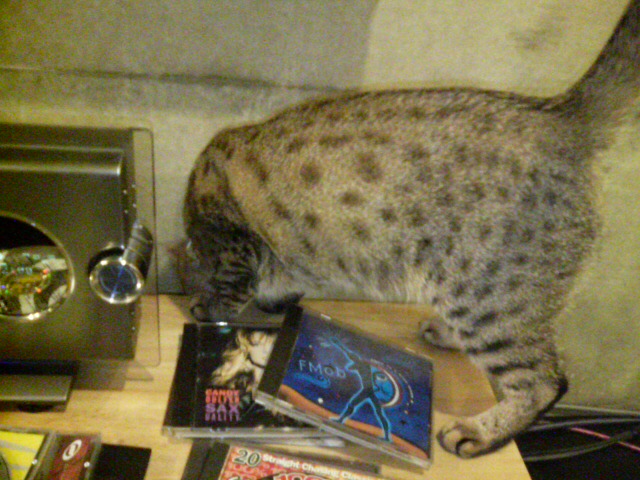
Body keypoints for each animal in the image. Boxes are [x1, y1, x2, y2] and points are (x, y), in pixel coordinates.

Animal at [181, 1, 640, 458]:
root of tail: (558, 114)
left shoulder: (235, 246)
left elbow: (228, 293)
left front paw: (208, 308)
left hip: (485, 297)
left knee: (545, 380)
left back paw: (479, 431)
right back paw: (444, 335)